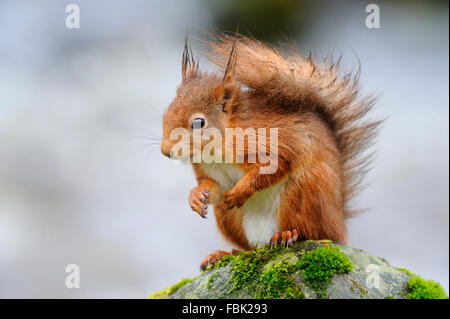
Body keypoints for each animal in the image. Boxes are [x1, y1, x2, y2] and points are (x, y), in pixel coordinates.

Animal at [162, 34, 380, 270]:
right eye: (166, 112)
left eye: (199, 122)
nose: (165, 151)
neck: (217, 149)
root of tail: (339, 226)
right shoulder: (211, 173)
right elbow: (213, 188)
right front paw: (195, 197)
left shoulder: (275, 143)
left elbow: (275, 166)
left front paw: (239, 192)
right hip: (230, 219)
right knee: (249, 247)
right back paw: (224, 254)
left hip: (305, 194)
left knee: (312, 232)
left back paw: (287, 235)